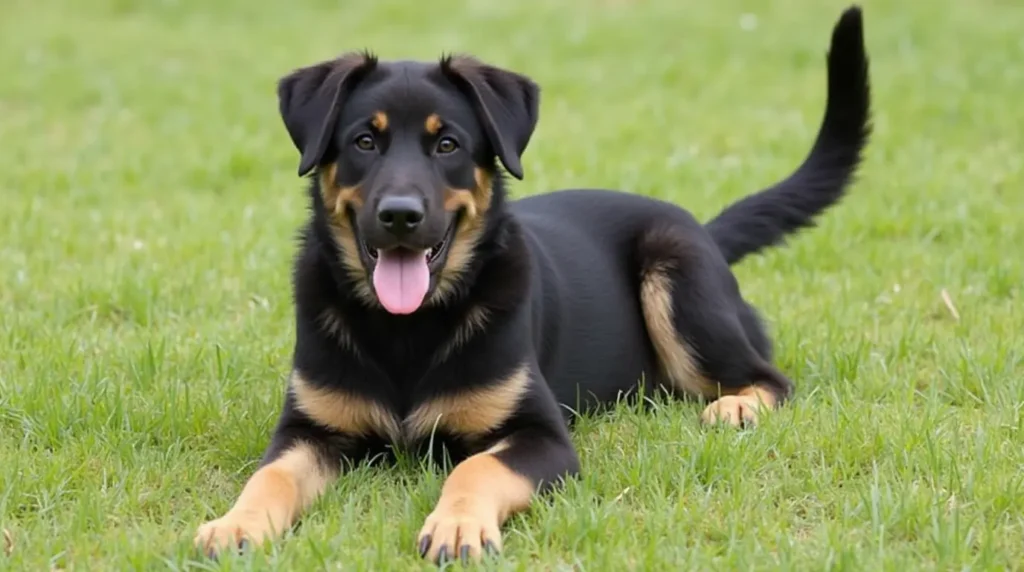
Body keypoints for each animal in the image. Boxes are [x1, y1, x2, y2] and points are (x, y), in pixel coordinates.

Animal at [193, 4, 872, 564]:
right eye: (364, 140)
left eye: (447, 144)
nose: (401, 216)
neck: (408, 330)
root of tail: (701, 229)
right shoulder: (309, 430)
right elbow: (270, 475)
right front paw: (235, 524)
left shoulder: (542, 437)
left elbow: (474, 470)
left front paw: (457, 526)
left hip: (676, 275)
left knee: (770, 377)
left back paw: (736, 406)